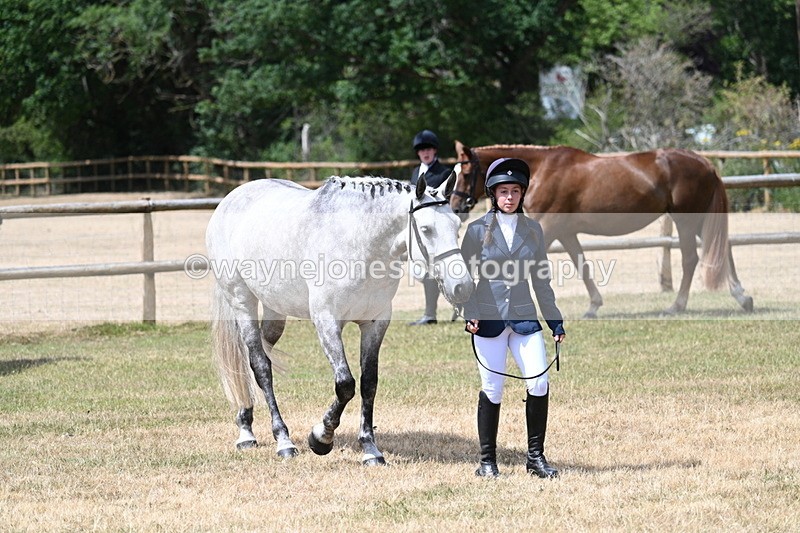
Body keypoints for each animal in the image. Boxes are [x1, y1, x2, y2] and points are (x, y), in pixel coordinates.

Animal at [206, 173, 473, 465]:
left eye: (457, 226)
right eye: (426, 229)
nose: (463, 287)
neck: (359, 243)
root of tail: (232, 199)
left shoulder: (376, 323)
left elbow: (369, 383)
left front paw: (370, 448)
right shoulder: (327, 321)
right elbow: (345, 384)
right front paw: (321, 437)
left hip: (275, 309)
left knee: (253, 358)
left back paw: (247, 422)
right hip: (242, 301)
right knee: (260, 366)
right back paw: (278, 440)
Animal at [450, 141, 753, 318]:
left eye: (466, 173)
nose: (455, 206)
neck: (541, 170)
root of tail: (705, 163)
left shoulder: (548, 227)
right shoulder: (565, 232)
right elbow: (581, 264)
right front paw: (594, 306)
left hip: (686, 220)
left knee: (691, 258)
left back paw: (677, 306)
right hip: (698, 220)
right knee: (724, 249)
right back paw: (743, 298)